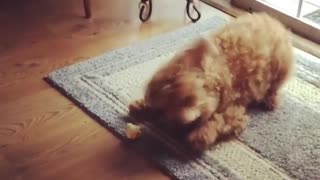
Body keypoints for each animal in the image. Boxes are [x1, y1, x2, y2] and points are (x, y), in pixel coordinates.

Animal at [129, 11, 294, 151]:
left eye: (190, 100)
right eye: (170, 105)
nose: (182, 122)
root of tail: (275, 22)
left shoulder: (233, 109)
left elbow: (219, 119)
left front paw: (201, 135)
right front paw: (142, 106)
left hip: (282, 65)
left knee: (275, 87)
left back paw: (270, 99)